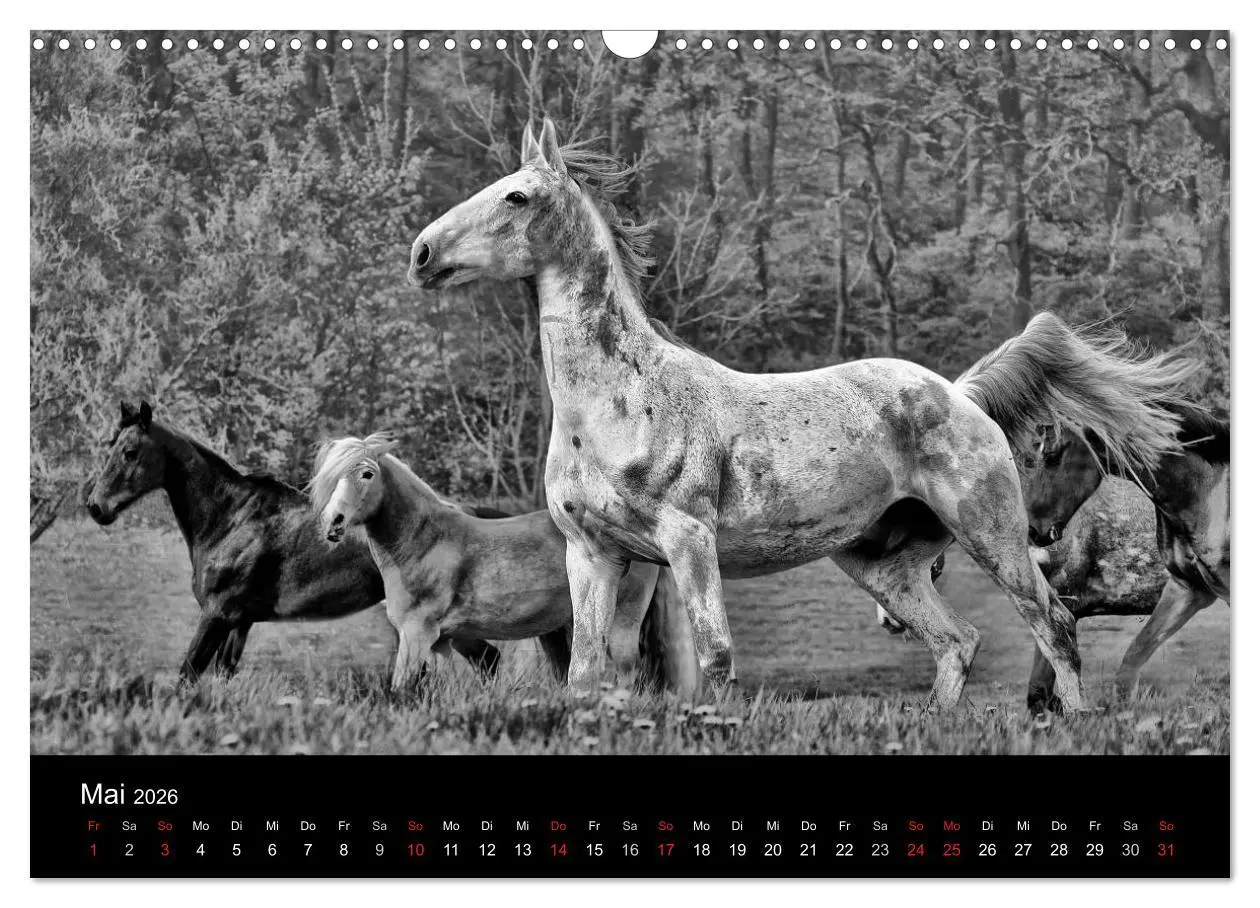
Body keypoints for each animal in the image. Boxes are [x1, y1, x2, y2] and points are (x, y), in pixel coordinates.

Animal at [84, 402, 531, 681]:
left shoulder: (217, 614)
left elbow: (188, 675)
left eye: (129, 452)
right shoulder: (239, 622)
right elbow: (222, 676)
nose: (95, 507)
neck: (231, 518)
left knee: (487, 661)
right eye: (110, 447)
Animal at [309, 433, 695, 692]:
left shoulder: (417, 634)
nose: (334, 523)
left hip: (622, 624)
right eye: (330, 477)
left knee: (627, 671)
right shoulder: (442, 641)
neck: (425, 542)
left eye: (367, 474)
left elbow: (402, 688)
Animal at [407, 117, 1196, 711]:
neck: (618, 405)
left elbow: (716, 657)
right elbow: (587, 673)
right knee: (958, 641)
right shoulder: (595, 553)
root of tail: (961, 395)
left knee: (1052, 624)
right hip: (882, 565)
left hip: (992, 533)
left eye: (517, 196)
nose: (421, 254)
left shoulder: (689, 541)